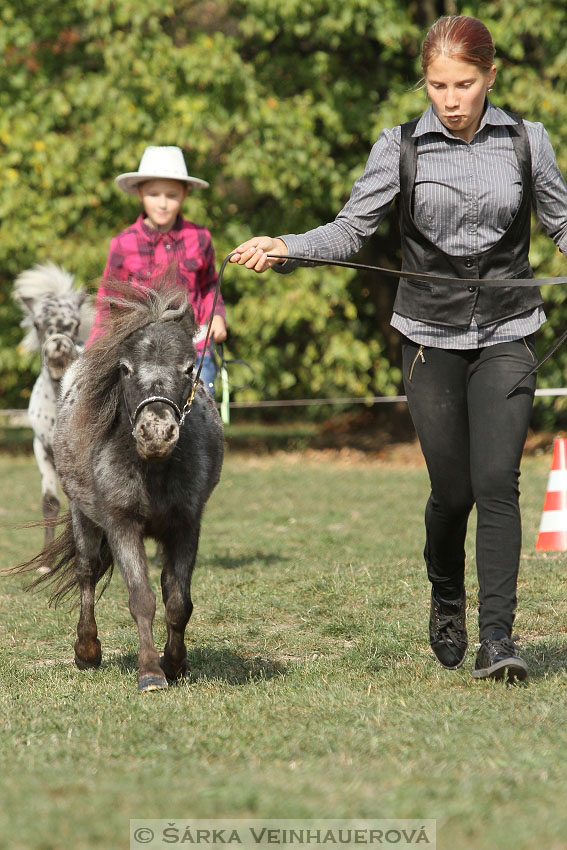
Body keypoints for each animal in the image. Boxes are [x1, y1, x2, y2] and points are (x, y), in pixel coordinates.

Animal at [13, 262, 93, 548]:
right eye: (37, 324)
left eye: (75, 323)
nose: (57, 347)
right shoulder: (42, 448)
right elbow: (50, 503)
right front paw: (47, 556)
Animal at [22, 278, 226, 688]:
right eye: (125, 368)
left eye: (188, 368)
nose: (157, 433)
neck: (152, 469)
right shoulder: (121, 524)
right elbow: (141, 598)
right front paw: (150, 672)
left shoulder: (185, 526)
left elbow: (177, 601)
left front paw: (174, 663)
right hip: (83, 516)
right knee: (86, 572)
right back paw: (87, 651)